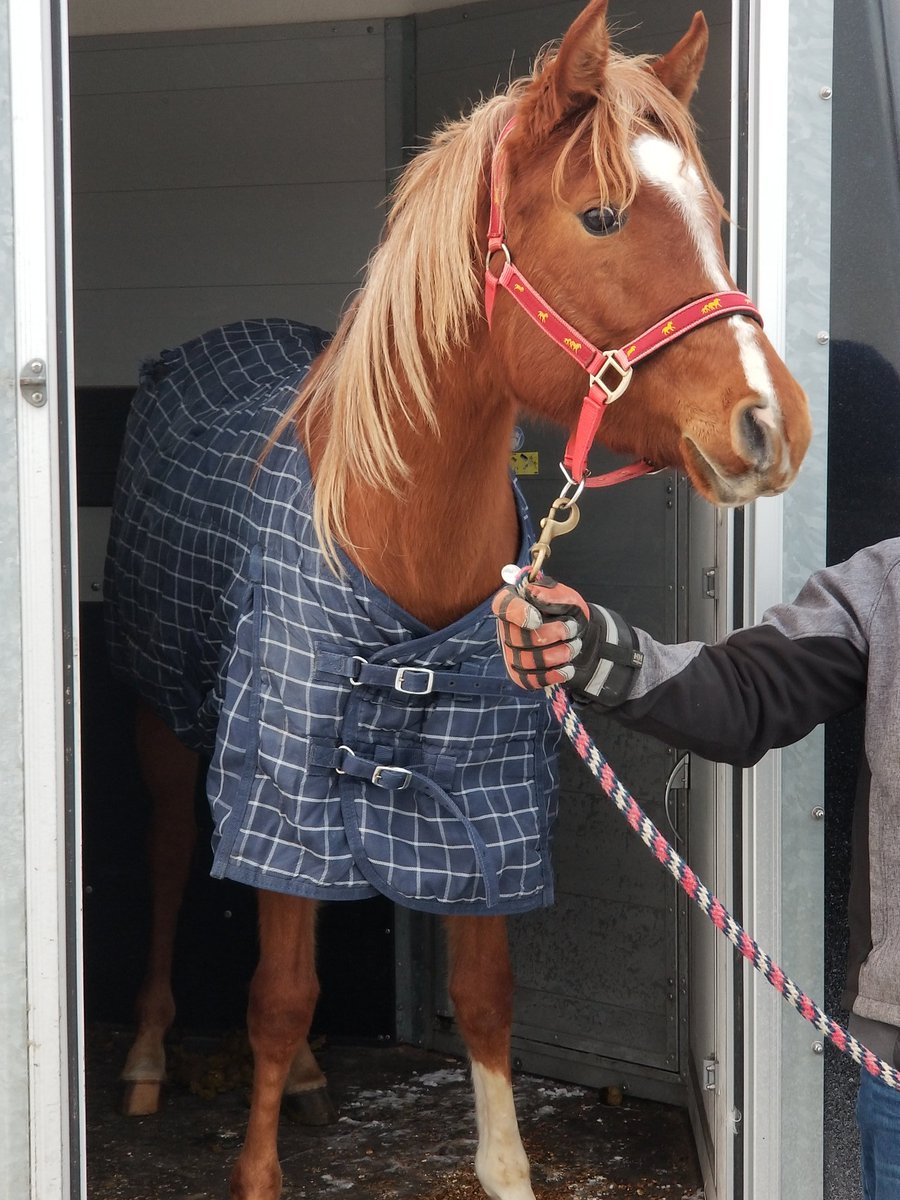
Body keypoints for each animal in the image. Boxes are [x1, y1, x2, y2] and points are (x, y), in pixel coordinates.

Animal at [104, 3, 811, 1198]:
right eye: (603, 215)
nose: (774, 424)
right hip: (167, 718)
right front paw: (256, 1170)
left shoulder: (487, 794)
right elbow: (279, 995)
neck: (393, 537)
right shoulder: (283, 779)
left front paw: (506, 1167)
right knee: (163, 861)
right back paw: (151, 1056)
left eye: (717, 217)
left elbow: (484, 998)